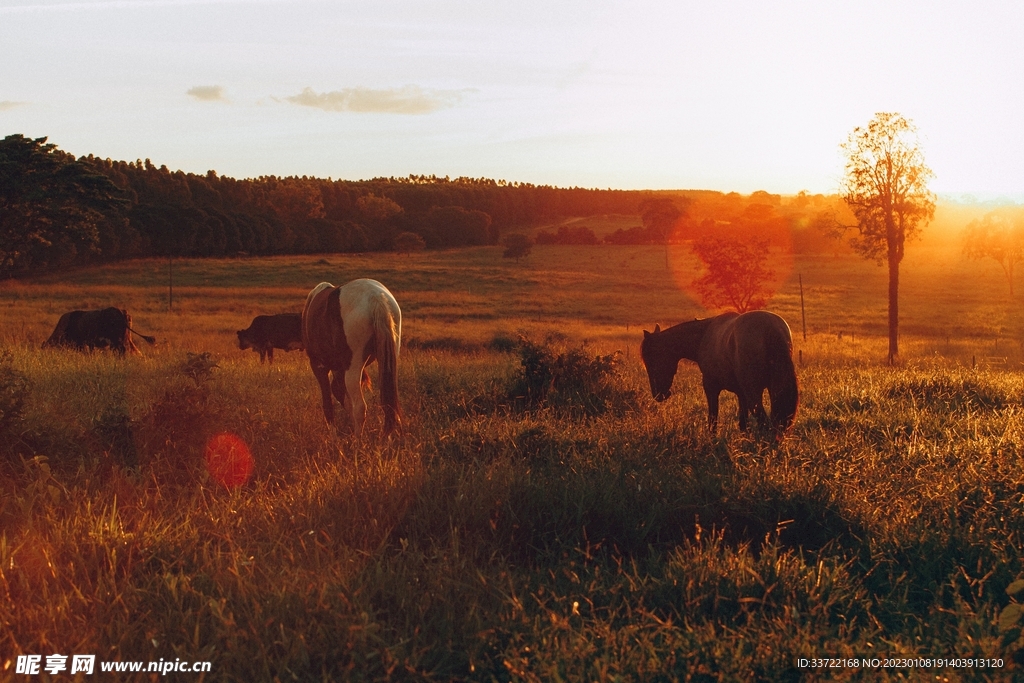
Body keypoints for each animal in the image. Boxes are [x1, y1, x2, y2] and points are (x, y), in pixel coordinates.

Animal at [302, 279, 402, 436]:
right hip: (389, 363)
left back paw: (357, 440)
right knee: (389, 406)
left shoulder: (318, 366)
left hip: (353, 369)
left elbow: (328, 404)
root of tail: (375, 297)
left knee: (360, 407)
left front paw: (333, 437)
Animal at [640, 310, 798, 434]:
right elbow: (743, 424)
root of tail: (770, 328)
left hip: (754, 393)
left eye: (651, 359)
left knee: (764, 424)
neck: (703, 335)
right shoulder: (741, 394)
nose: (658, 395)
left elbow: (713, 419)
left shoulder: (711, 387)